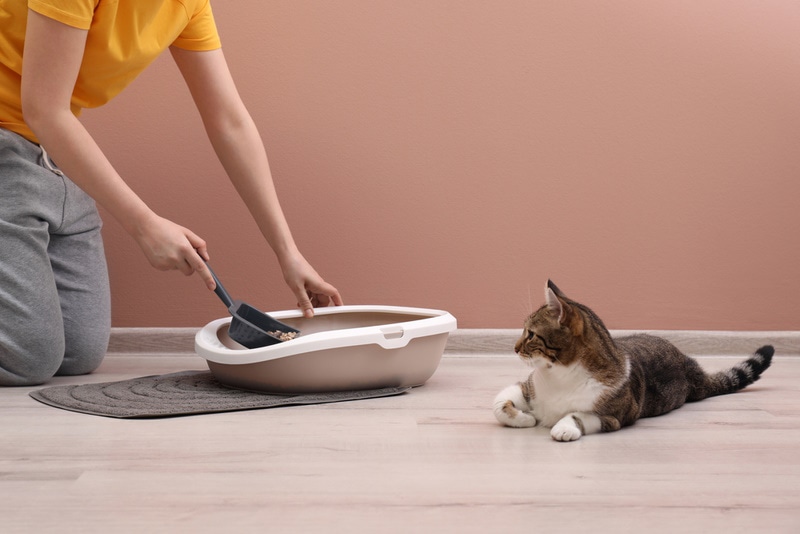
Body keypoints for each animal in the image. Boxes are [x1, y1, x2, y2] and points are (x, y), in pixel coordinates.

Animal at [494, 280, 776, 444]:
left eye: (531, 334)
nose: (514, 348)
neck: (559, 375)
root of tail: (691, 367)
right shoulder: (527, 386)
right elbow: (498, 404)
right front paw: (525, 418)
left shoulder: (616, 415)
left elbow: (579, 414)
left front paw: (563, 427)